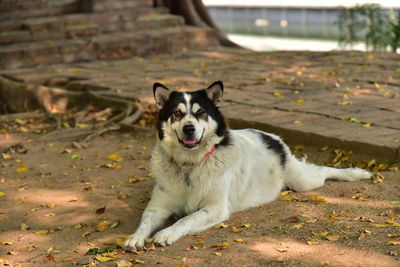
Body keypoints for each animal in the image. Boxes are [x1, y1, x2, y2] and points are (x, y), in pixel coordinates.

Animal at [123, 80, 370, 250]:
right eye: (177, 113)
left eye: (201, 112)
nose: (189, 128)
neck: (190, 165)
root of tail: (271, 137)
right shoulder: (158, 207)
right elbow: (145, 221)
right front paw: (134, 238)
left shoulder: (215, 208)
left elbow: (186, 218)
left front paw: (167, 233)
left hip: (303, 180)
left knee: (323, 171)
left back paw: (357, 173)